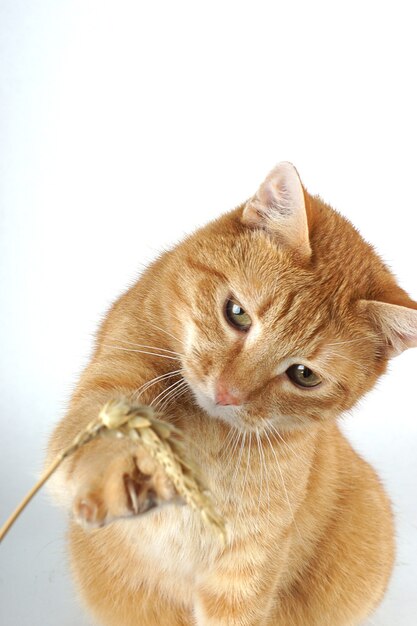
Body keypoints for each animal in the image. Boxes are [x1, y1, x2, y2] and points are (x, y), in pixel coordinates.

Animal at [46, 162, 416, 624]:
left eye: (303, 375)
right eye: (237, 314)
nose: (227, 393)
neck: (209, 432)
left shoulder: (247, 570)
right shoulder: (109, 391)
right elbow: (100, 435)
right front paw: (128, 474)